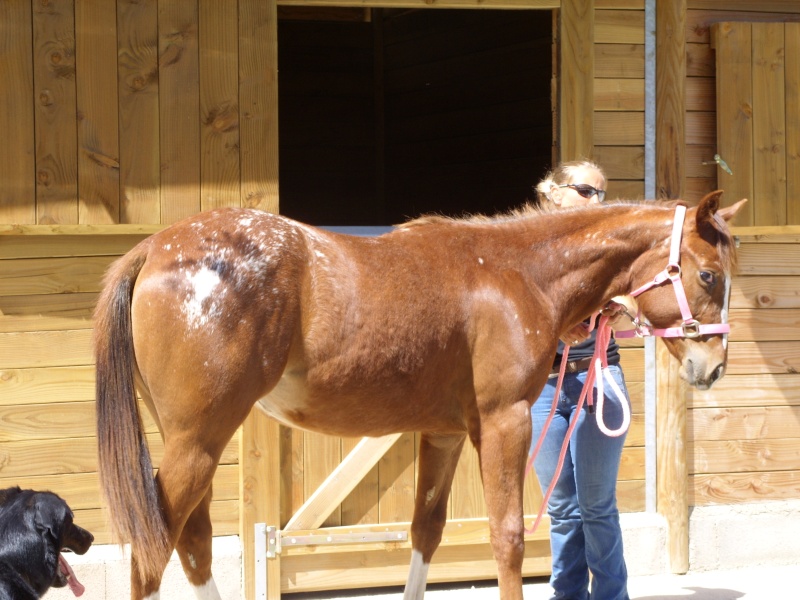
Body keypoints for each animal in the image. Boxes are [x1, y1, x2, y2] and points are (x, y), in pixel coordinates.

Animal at [94, 190, 744, 596]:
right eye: (708, 275)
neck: (517, 272)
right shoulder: (504, 422)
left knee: (193, 542)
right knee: (155, 549)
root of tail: (154, 248)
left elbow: (426, 532)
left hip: (193, 442)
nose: (712, 367)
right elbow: (508, 536)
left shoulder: (445, 433)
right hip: (198, 442)